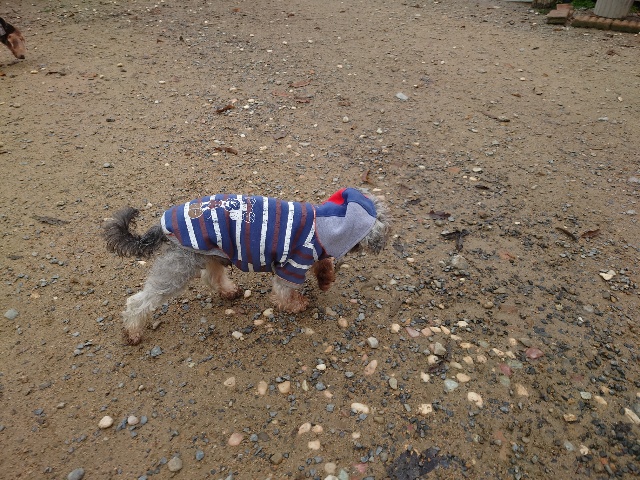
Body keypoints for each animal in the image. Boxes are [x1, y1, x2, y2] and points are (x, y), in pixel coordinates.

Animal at [104, 188, 390, 344]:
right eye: (382, 219)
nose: (386, 241)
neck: (324, 225)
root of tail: (161, 224)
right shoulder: (293, 264)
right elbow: (284, 292)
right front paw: (297, 304)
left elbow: (323, 263)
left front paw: (326, 277)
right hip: (178, 267)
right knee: (138, 302)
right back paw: (132, 332)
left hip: (211, 253)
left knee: (212, 277)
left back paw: (229, 291)